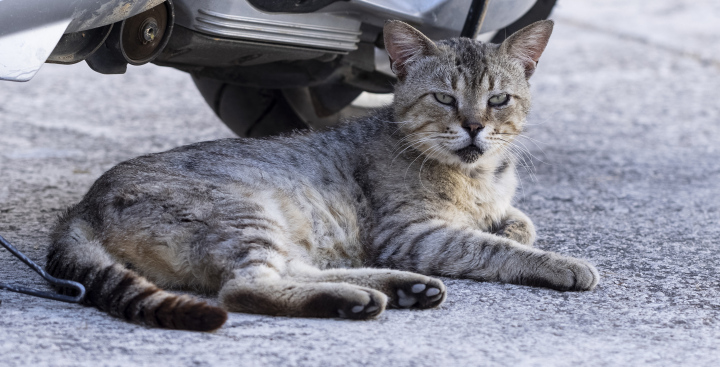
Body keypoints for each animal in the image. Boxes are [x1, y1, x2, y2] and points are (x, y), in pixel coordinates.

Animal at [43, 18, 596, 332]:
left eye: (499, 99)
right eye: (444, 97)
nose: (475, 126)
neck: (480, 175)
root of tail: (81, 205)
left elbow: (518, 223)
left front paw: (511, 226)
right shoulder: (413, 234)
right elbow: (492, 248)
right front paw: (559, 262)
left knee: (292, 271)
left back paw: (397, 289)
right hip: (245, 215)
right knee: (244, 288)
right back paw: (361, 298)